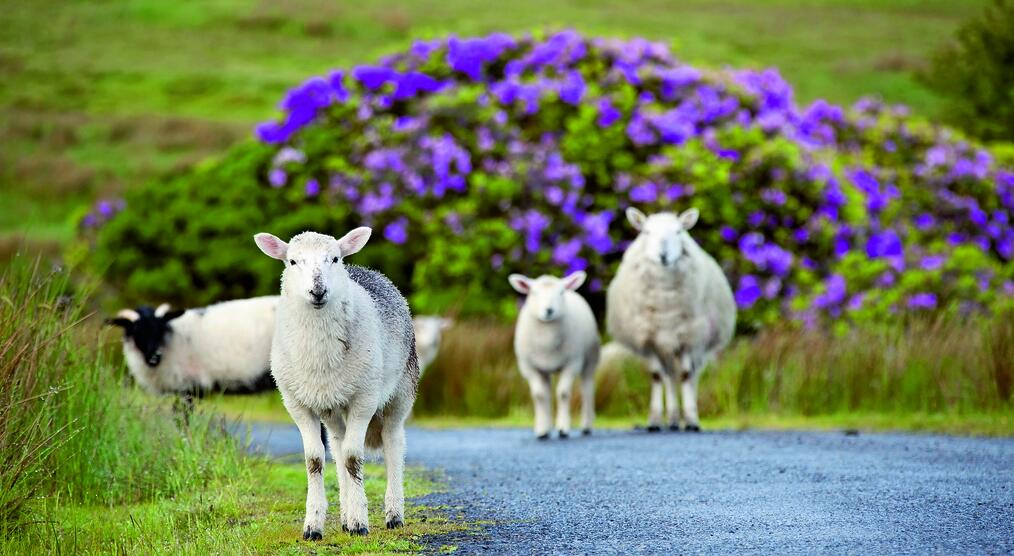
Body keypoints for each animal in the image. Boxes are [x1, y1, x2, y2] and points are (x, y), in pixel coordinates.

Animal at [255, 225, 417, 539]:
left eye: (334, 259)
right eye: (292, 261)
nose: (318, 291)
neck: (320, 355)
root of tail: (367, 270)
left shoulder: (364, 398)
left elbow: (354, 457)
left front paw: (359, 523)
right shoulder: (296, 403)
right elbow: (315, 460)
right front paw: (313, 526)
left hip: (401, 391)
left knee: (393, 444)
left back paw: (393, 514)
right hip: (332, 406)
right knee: (338, 445)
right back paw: (344, 516)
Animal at [507, 271, 600, 440]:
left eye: (561, 292)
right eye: (534, 292)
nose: (549, 310)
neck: (547, 341)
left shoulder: (572, 363)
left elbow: (563, 393)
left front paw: (563, 428)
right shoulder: (529, 367)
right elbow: (539, 395)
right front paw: (542, 430)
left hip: (590, 359)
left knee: (587, 389)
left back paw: (586, 425)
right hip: (545, 369)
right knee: (547, 393)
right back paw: (547, 426)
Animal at [600, 205, 738, 432]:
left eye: (679, 232)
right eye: (647, 232)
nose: (663, 255)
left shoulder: (690, 337)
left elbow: (686, 375)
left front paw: (691, 420)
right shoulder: (650, 340)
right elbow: (658, 377)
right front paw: (655, 420)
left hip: (696, 345)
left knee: (689, 376)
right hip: (665, 346)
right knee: (669, 377)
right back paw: (672, 419)